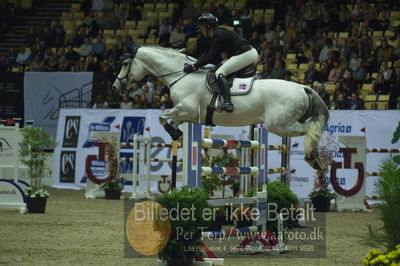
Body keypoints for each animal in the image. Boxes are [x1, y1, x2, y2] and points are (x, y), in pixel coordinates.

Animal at [111, 43, 328, 170]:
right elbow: (171, 120)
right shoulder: (190, 114)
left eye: (125, 63)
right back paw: (317, 160)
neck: (181, 75)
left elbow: (162, 117)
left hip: (280, 125)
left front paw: (176, 135)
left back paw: (312, 157)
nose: (114, 87)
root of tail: (302, 87)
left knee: (311, 129)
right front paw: (178, 135)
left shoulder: (186, 108)